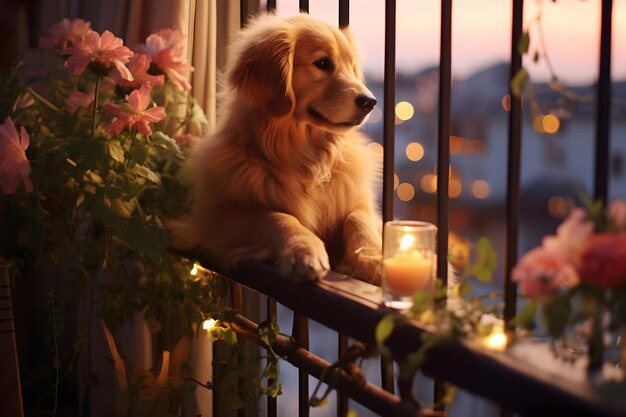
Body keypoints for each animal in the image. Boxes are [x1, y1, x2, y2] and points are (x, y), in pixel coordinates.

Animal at [166, 13, 380, 282]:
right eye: (322, 63)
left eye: (351, 66)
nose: (370, 102)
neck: (304, 156)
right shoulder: (216, 216)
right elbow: (276, 216)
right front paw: (304, 248)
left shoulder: (357, 201)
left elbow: (359, 217)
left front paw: (372, 258)